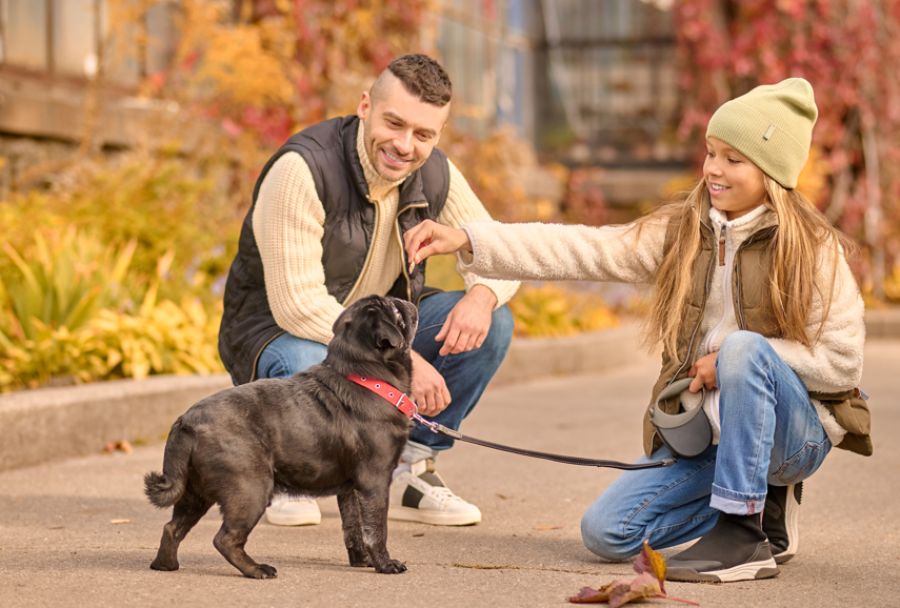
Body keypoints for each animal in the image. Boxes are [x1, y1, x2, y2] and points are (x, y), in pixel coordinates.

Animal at [145, 296, 418, 580]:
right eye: (395, 310)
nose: (403, 300)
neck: (366, 377)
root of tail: (186, 421)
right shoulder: (374, 482)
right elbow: (376, 529)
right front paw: (385, 564)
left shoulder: (350, 490)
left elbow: (354, 529)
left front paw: (361, 560)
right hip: (251, 489)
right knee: (225, 539)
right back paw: (257, 570)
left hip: (195, 494)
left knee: (172, 528)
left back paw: (165, 565)